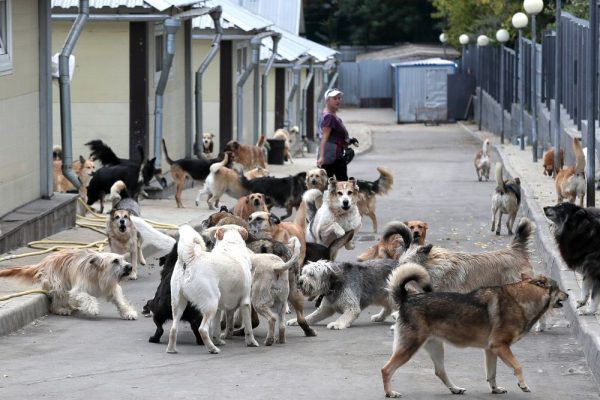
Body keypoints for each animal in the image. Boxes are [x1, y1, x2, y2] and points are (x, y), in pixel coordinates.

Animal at [0, 250, 137, 318]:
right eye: (115, 261)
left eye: (123, 259)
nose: (130, 267)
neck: (98, 274)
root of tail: (44, 261)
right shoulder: (78, 289)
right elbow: (86, 296)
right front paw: (92, 308)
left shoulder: (111, 287)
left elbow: (120, 300)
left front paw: (127, 312)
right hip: (58, 283)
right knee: (56, 300)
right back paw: (61, 309)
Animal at [166, 225, 258, 354]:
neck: (230, 245)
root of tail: (191, 259)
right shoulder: (245, 302)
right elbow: (248, 328)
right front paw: (251, 342)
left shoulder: (220, 309)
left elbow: (217, 329)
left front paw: (218, 340)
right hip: (211, 304)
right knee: (203, 329)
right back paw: (212, 348)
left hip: (178, 304)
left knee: (173, 329)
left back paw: (171, 349)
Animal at [382, 264, 568, 398]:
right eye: (558, 287)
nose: (567, 294)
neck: (522, 298)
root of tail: (406, 298)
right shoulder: (501, 346)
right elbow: (518, 366)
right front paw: (523, 385)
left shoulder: (492, 350)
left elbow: (492, 374)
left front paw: (495, 390)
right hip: (409, 348)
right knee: (386, 370)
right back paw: (390, 393)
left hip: (436, 348)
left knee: (440, 371)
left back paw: (455, 389)